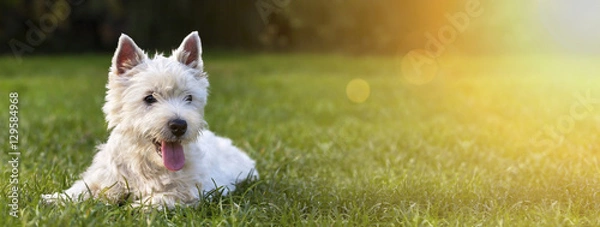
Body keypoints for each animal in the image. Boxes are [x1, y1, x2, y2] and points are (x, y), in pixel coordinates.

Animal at [42, 31, 258, 208]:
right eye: (149, 98)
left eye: (189, 98)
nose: (179, 126)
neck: (146, 162)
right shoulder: (105, 178)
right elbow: (82, 189)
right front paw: (52, 199)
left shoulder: (189, 192)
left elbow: (156, 199)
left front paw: (130, 208)